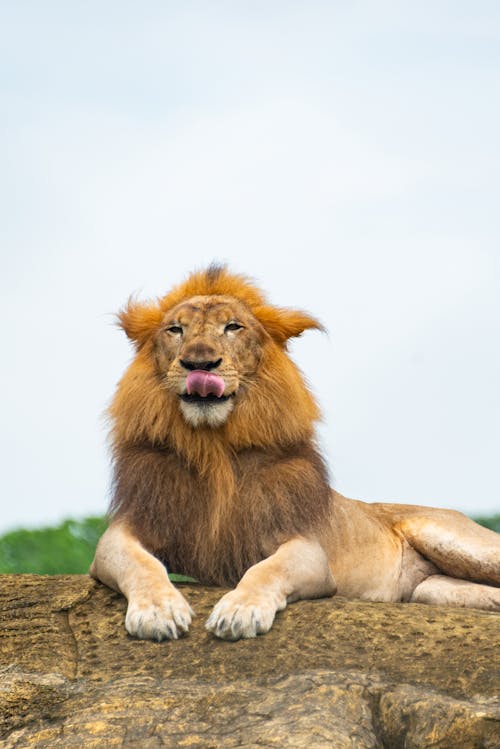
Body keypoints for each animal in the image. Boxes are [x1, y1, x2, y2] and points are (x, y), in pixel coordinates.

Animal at [92, 266, 500, 640]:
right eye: (175, 330)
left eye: (233, 327)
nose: (200, 364)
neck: (214, 446)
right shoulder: (122, 533)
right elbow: (141, 564)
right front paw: (158, 611)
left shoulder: (308, 549)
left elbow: (267, 569)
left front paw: (239, 610)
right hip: (432, 590)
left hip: (452, 539)